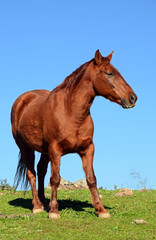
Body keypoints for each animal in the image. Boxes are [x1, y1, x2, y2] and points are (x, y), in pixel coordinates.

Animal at [11, 49, 136, 218]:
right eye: (109, 73)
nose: (133, 98)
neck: (71, 112)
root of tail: (23, 99)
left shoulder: (87, 149)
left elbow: (91, 178)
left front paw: (101, 210)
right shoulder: (55, 150)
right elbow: (55, 179)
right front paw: (54, 211)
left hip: (44, 151)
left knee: (41, 170)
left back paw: (44, 202)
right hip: (25, 147)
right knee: (32, 173)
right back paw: (37, 206)